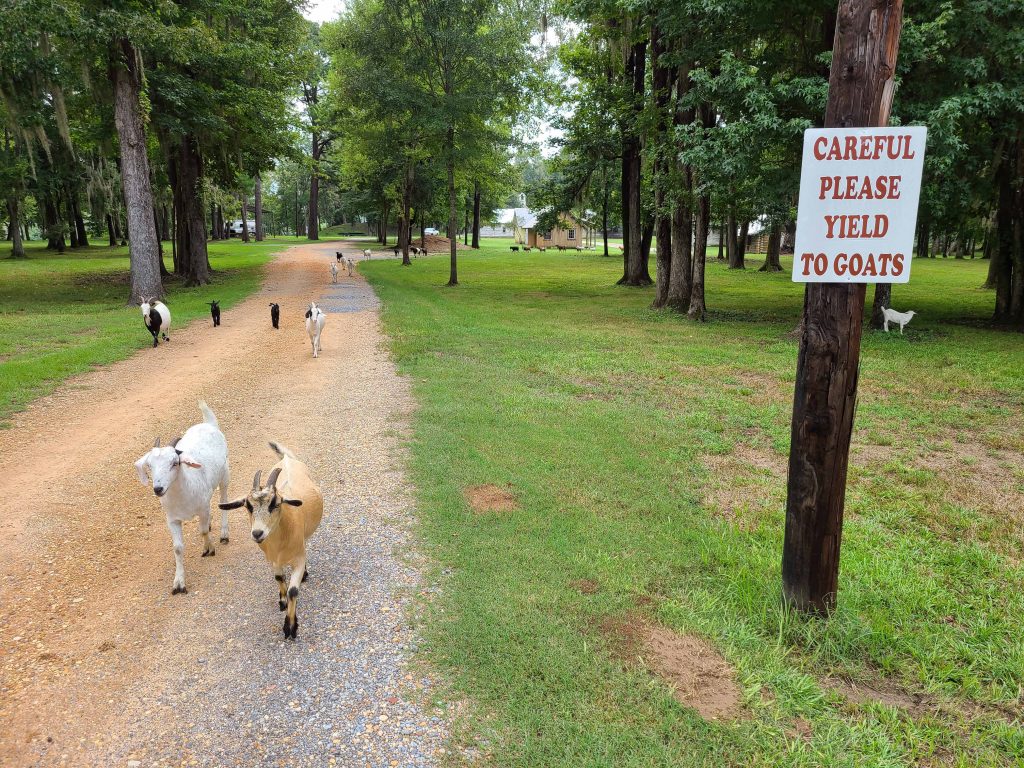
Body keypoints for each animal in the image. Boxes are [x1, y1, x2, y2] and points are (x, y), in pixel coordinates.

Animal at [134, 403, 230, 593]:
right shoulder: (172, 519)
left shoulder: (202, 508)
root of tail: (208, 424)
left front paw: (209, 549)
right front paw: (179, 583)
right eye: (149, 465)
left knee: (223, 500)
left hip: (225, 475)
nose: (158, 488)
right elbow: (177, 548)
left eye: (175, 463)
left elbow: (203, 531)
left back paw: (224, 533)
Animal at [218, 442, 321, 638]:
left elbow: (293, 590)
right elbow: (279, 578)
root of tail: (287, 459)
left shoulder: (298, 557)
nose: (258, 533)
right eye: (248, 506)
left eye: (275, 503)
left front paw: (290, 627)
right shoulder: (272, 559)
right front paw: (282, 602)